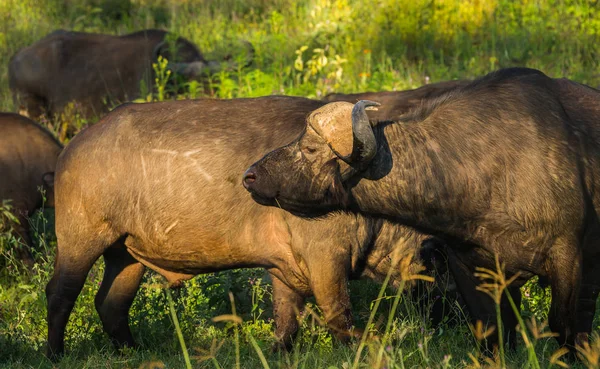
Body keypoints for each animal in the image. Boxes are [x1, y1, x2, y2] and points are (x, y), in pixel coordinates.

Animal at [44, 96, 458, 358]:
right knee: (60, 293)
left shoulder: (284, 267)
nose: (453, 321)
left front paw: (278, 352)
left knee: (111, 303)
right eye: (444, 267)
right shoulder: (325, 261)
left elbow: (287, 318)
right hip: (81, 241)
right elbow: (338, 313)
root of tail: (72, 147)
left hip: (126, 255)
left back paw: (132, 351)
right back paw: (55, 353)